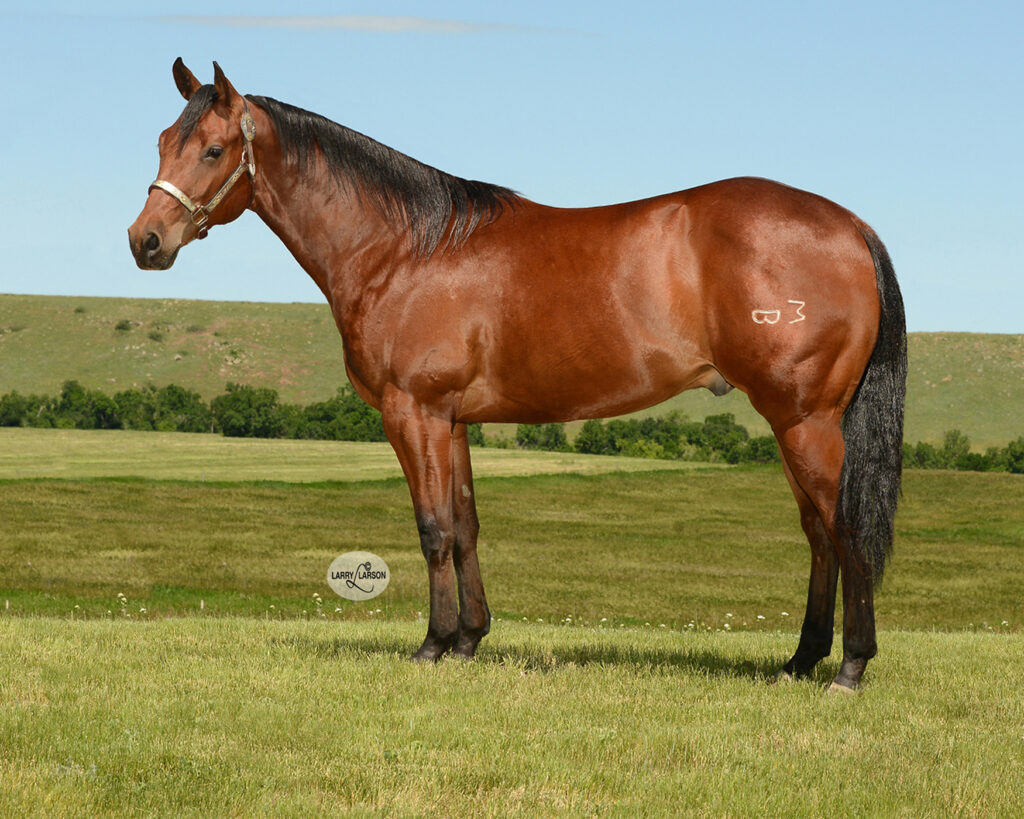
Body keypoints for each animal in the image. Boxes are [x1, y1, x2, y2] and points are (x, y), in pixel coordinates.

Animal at [129, 60, 906, 691]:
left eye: (213, 149)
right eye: (163, 141)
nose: (145, 241)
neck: (404, 250)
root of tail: (851, 225)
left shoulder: (413, 413)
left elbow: (434, 529)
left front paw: (432, 645)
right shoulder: (454, 421)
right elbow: (467, 525)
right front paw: (470, 640)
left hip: (805, 420)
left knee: (843, 527)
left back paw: (848, 668)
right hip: (793, 422)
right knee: (817, 533)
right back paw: (798, 661)